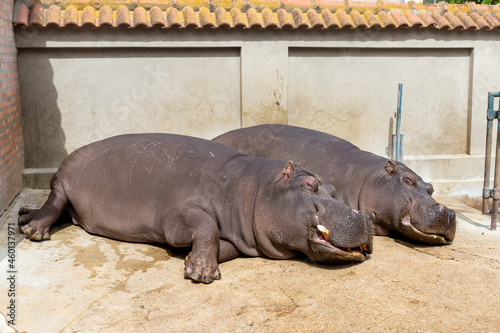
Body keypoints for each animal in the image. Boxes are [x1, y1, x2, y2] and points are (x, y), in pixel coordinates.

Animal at [17, 132, 374, 282]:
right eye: (309, 185)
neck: (256, 190)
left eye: (332, 188)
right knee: (53, 204)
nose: (364, 214)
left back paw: (25, 218)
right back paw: (33, 230)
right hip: (63, 183)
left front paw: (194, 262)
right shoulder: (178, 215)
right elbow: (206, 227)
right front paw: (202, 274)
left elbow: (221, 243)